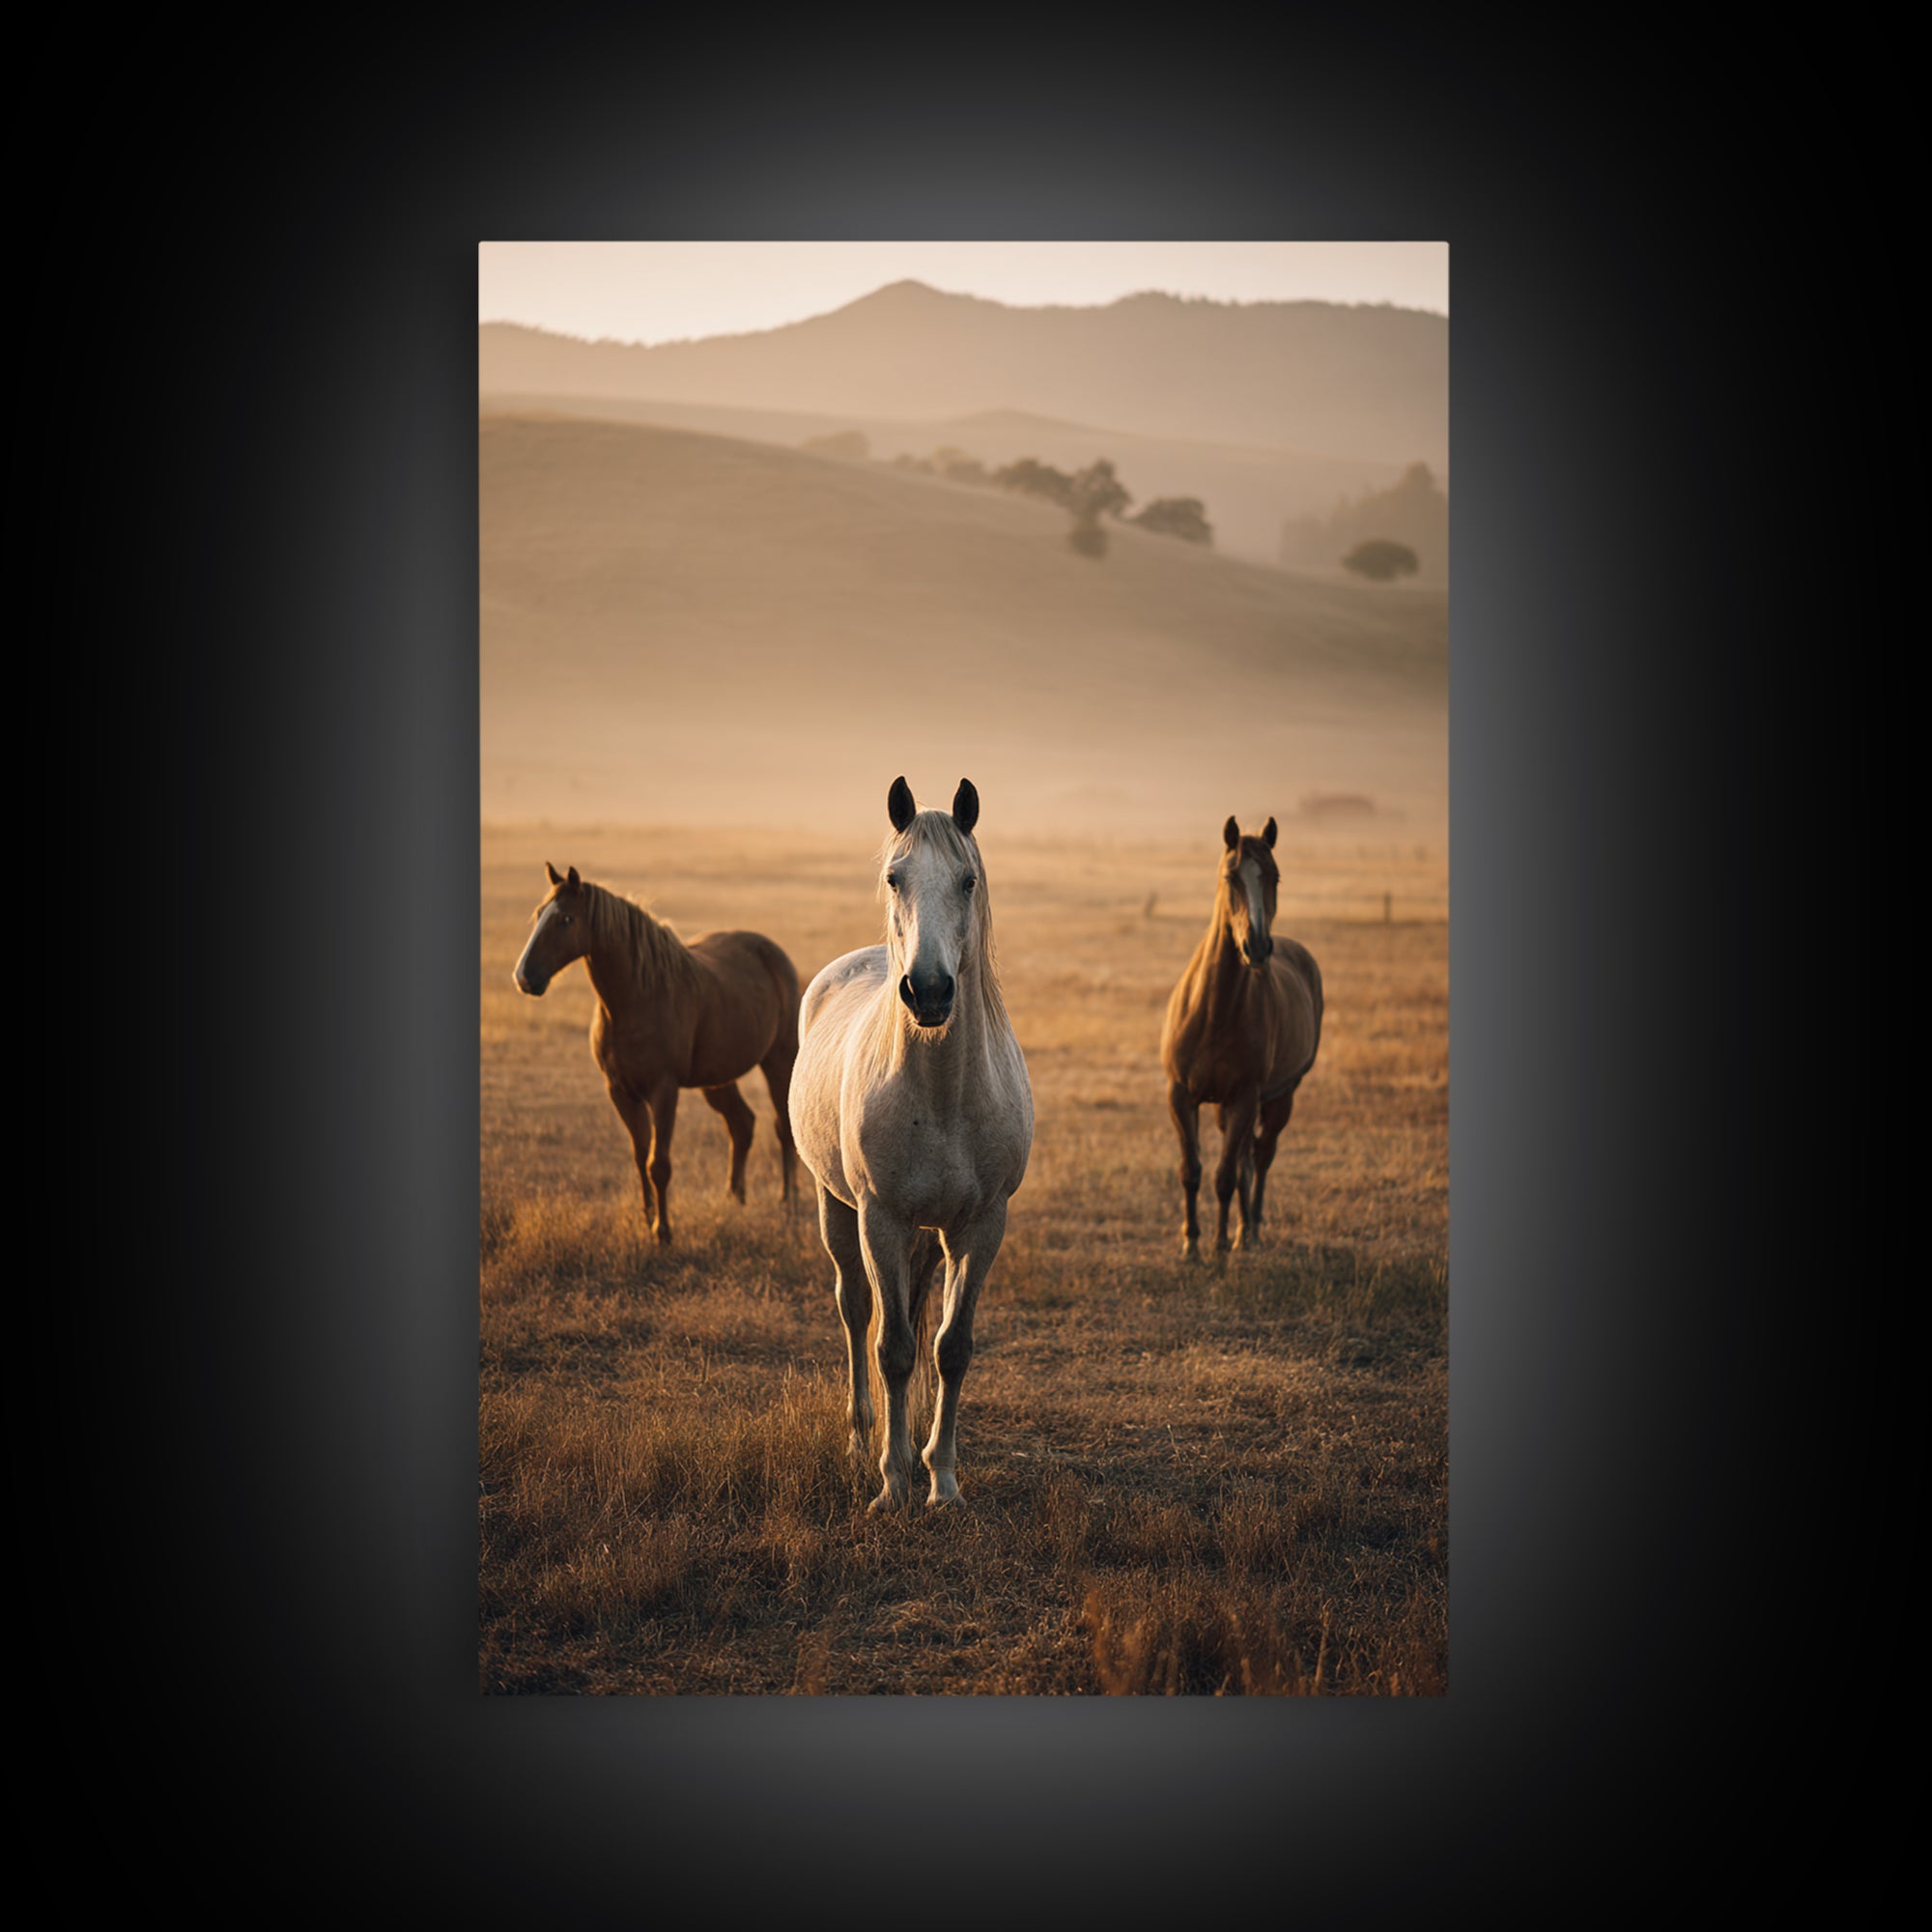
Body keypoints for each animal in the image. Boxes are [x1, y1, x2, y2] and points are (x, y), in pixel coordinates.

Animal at [512, 862, 800, 1243]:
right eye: (538, 914)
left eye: (565, 920)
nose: (524, 978)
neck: (636, 1000)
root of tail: (774, 954)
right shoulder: (620, 1092)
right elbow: (640, 1157)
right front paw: (646, 1217)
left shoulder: (663, 1091)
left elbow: (658, 1164)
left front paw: (663, 1231)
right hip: (718, 1078)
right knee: (741, 1124)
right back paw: (734, 1199)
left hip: (779, 1062)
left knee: (783, 1128)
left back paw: (789, 1201)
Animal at [789, 778, 1033, 1512]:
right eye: (895, 878)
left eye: (968, 880)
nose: (927, 990)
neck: (944, 1097)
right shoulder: (883, 1220)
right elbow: (893, 1347)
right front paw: (893, 1482)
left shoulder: (981, 1226)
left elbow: (951, 1347)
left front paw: (943, 1479)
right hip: (836, 1206)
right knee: (856, 1310)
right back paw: (860, 1439)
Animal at [1160, 816, 1324, 1261]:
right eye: (1231, 877)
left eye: (1274, 876)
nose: (1257, 946)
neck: (1214, 1012)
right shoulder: (1181, 1095)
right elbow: (1191, 1171)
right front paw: (1190, 1243)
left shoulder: (1245, 1097)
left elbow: (1224, 1176)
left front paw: (1216, 1246)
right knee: (1249, 1160)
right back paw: (1241, 1231)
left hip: (1279, 1097)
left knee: (1261, 1157)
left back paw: (1249, 1231)